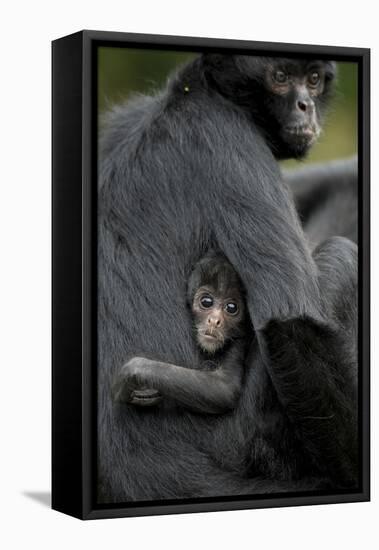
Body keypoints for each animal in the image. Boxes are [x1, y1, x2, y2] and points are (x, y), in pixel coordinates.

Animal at [111, 252, 251, 416]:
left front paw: (135, 372)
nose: (214, 320)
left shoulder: (240, 338)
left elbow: (225, 388)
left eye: (231, 307)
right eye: (207, 301)